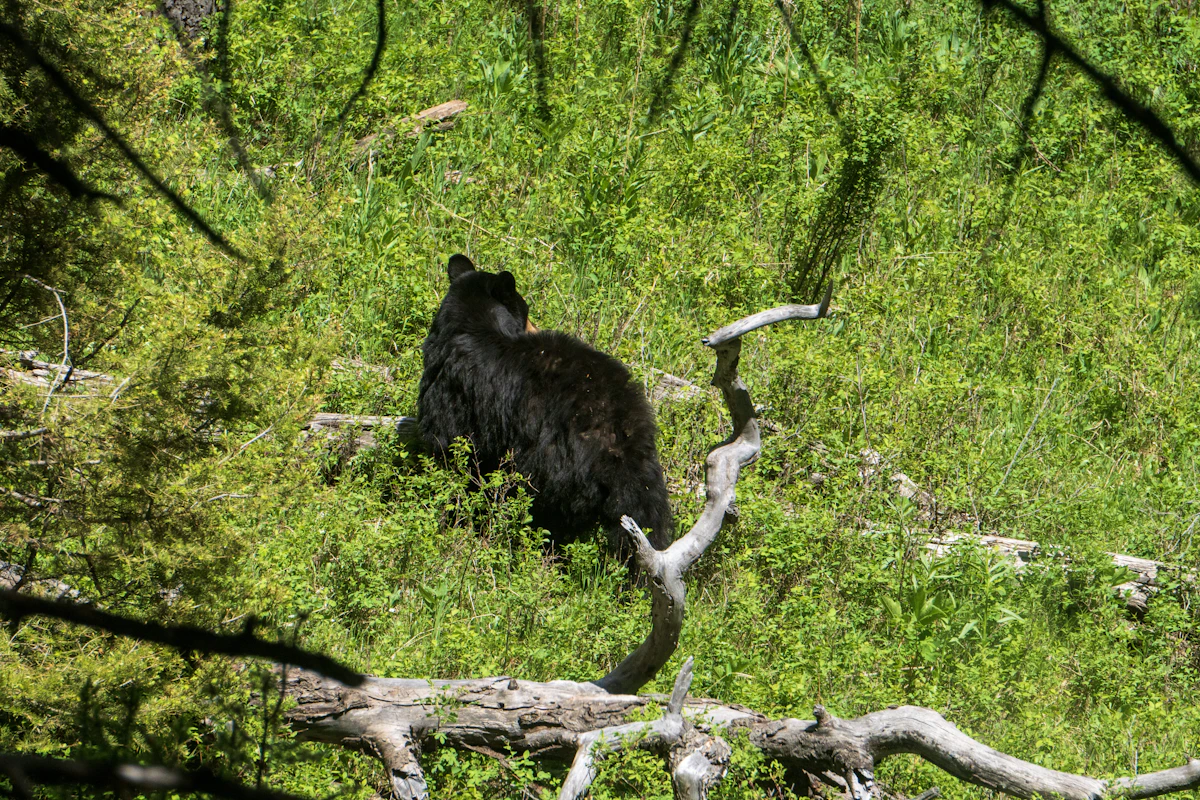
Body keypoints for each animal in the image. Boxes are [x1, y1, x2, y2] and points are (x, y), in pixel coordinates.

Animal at [417, 254, 673, 555]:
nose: (534, 327)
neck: (470, 326)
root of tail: (618, 440)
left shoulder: (454, 394)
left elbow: (451, 451)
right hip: (647, 471)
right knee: (650, 516)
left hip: (552, 466)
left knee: (546, 517)